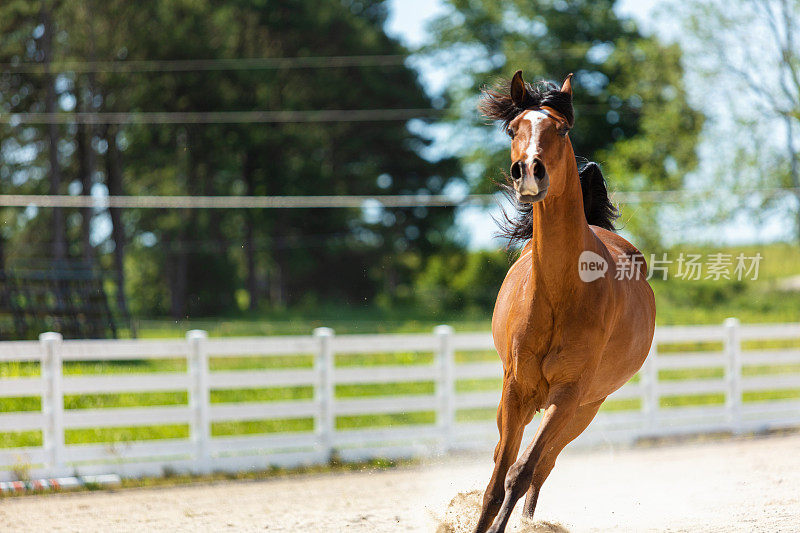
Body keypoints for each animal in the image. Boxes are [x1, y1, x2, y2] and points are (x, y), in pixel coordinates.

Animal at [472, 70, 652, 532]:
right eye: (513, 129)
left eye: (562, 130)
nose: (528, 172)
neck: (558, 294)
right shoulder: (514, 389)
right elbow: (496, 479)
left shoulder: (568, 394)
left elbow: (521, 473)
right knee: (511, 460)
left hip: (584, 410)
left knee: (543, 466)